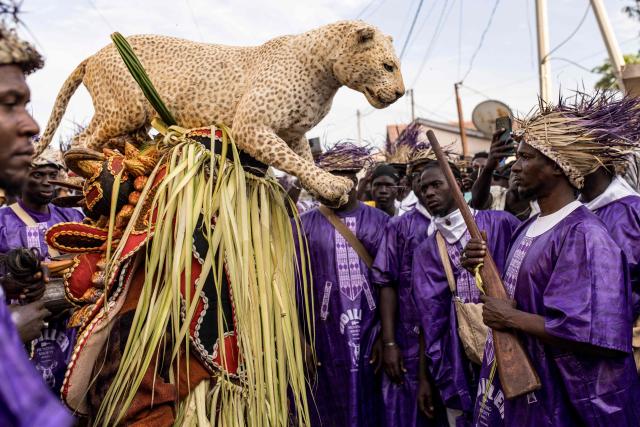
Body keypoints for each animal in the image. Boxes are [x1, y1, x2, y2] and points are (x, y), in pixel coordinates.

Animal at [35, 20, 405, 206]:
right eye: (388, 66)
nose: (400, 92)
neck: (325, 71)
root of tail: (94, 54)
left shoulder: (294, 133)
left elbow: (303, 161)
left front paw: (323, 186)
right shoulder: (251, 125)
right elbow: (293, 161)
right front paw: (331, 184)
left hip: (132, 117)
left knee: (127, 138)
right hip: (120, 110)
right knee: (81, 140)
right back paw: (85, 170)